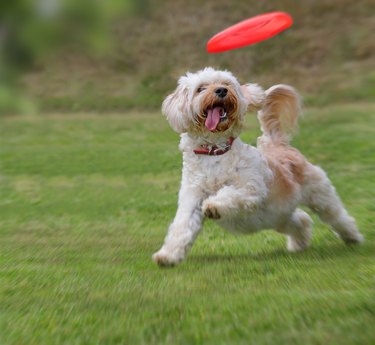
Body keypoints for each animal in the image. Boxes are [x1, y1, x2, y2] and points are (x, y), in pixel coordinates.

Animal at [152, 67, 364, 266]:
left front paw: (213, 205)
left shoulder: (251, 189)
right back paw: (298, 245)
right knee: (302, 220)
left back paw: (353, 237)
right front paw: (167, 256)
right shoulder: (191, 200)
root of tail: (277, 144)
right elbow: (181, 229)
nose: (221, 91)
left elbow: (229, 194)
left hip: (320, 195)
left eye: (226, 84)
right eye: (201, 88)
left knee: (338, 216)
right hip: (280, 216)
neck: (215, 153)